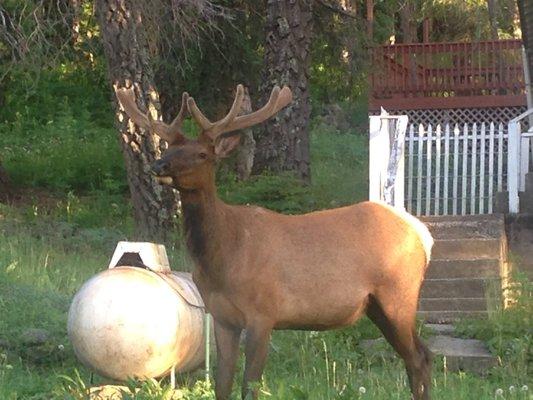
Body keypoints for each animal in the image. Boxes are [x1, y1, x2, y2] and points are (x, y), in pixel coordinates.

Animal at [115, 83, 432, 398]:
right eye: (171, 148)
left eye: (203, 153)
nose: (159, 166)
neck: (223, 256)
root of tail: (422, 233)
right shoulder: (221, 317)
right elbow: (222, 384)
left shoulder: (263, 313)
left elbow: (250, 385)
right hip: (377, 306)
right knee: (420, 355)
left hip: (399, 294)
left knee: (418, 357)